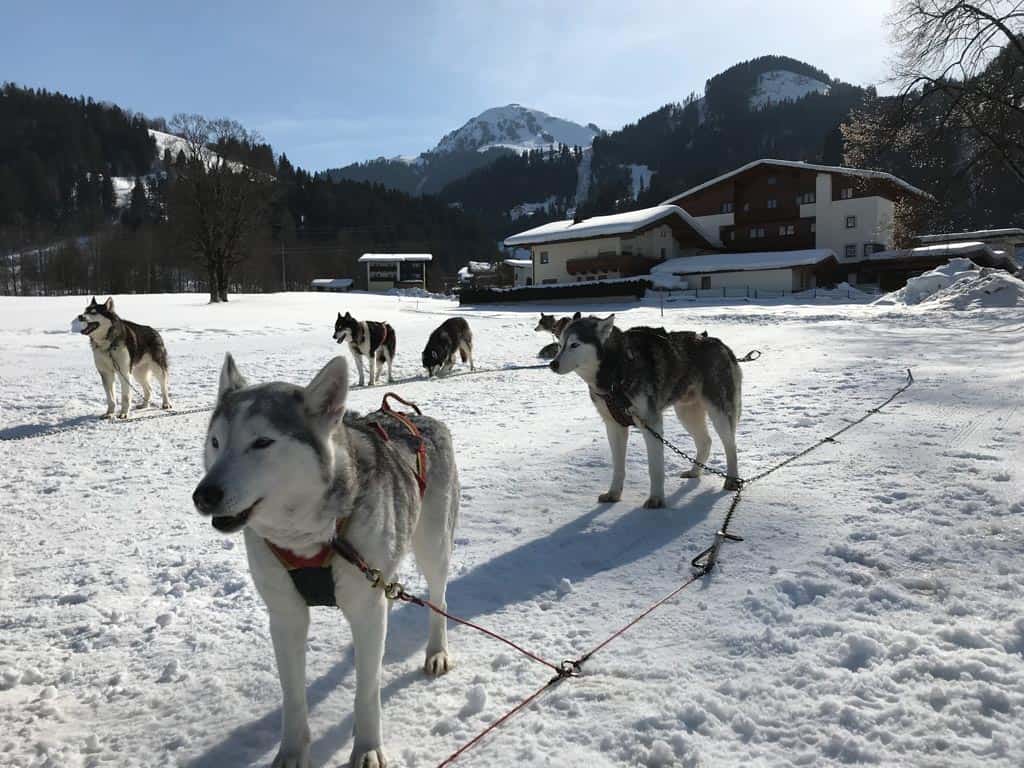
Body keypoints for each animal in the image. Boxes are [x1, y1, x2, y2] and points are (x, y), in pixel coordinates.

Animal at [191, 358, 460, 768]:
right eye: (216, 442)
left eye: (262, 442)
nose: (204, 495)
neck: (309, 538)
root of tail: (419, 418)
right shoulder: (286, 616)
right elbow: (292, 696)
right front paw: (291, 752)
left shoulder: (365, 607)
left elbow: (367, 693)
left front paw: (366, 747)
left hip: (432, 547)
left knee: (438, 599)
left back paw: (437, 651)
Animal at [552, 315, 745, 507]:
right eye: (560, 345)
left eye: (574, 344)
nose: (553, 364)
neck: (617, 373)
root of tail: (720, 344)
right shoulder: (614, 427)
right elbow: (618, 467)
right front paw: (613, 493)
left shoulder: (651, 424)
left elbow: (655, 468)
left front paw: (656, 499)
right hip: (686, 413)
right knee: (705, 441)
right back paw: (694, 471)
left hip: (719, 412)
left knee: (731, 445)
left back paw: (731, 480)